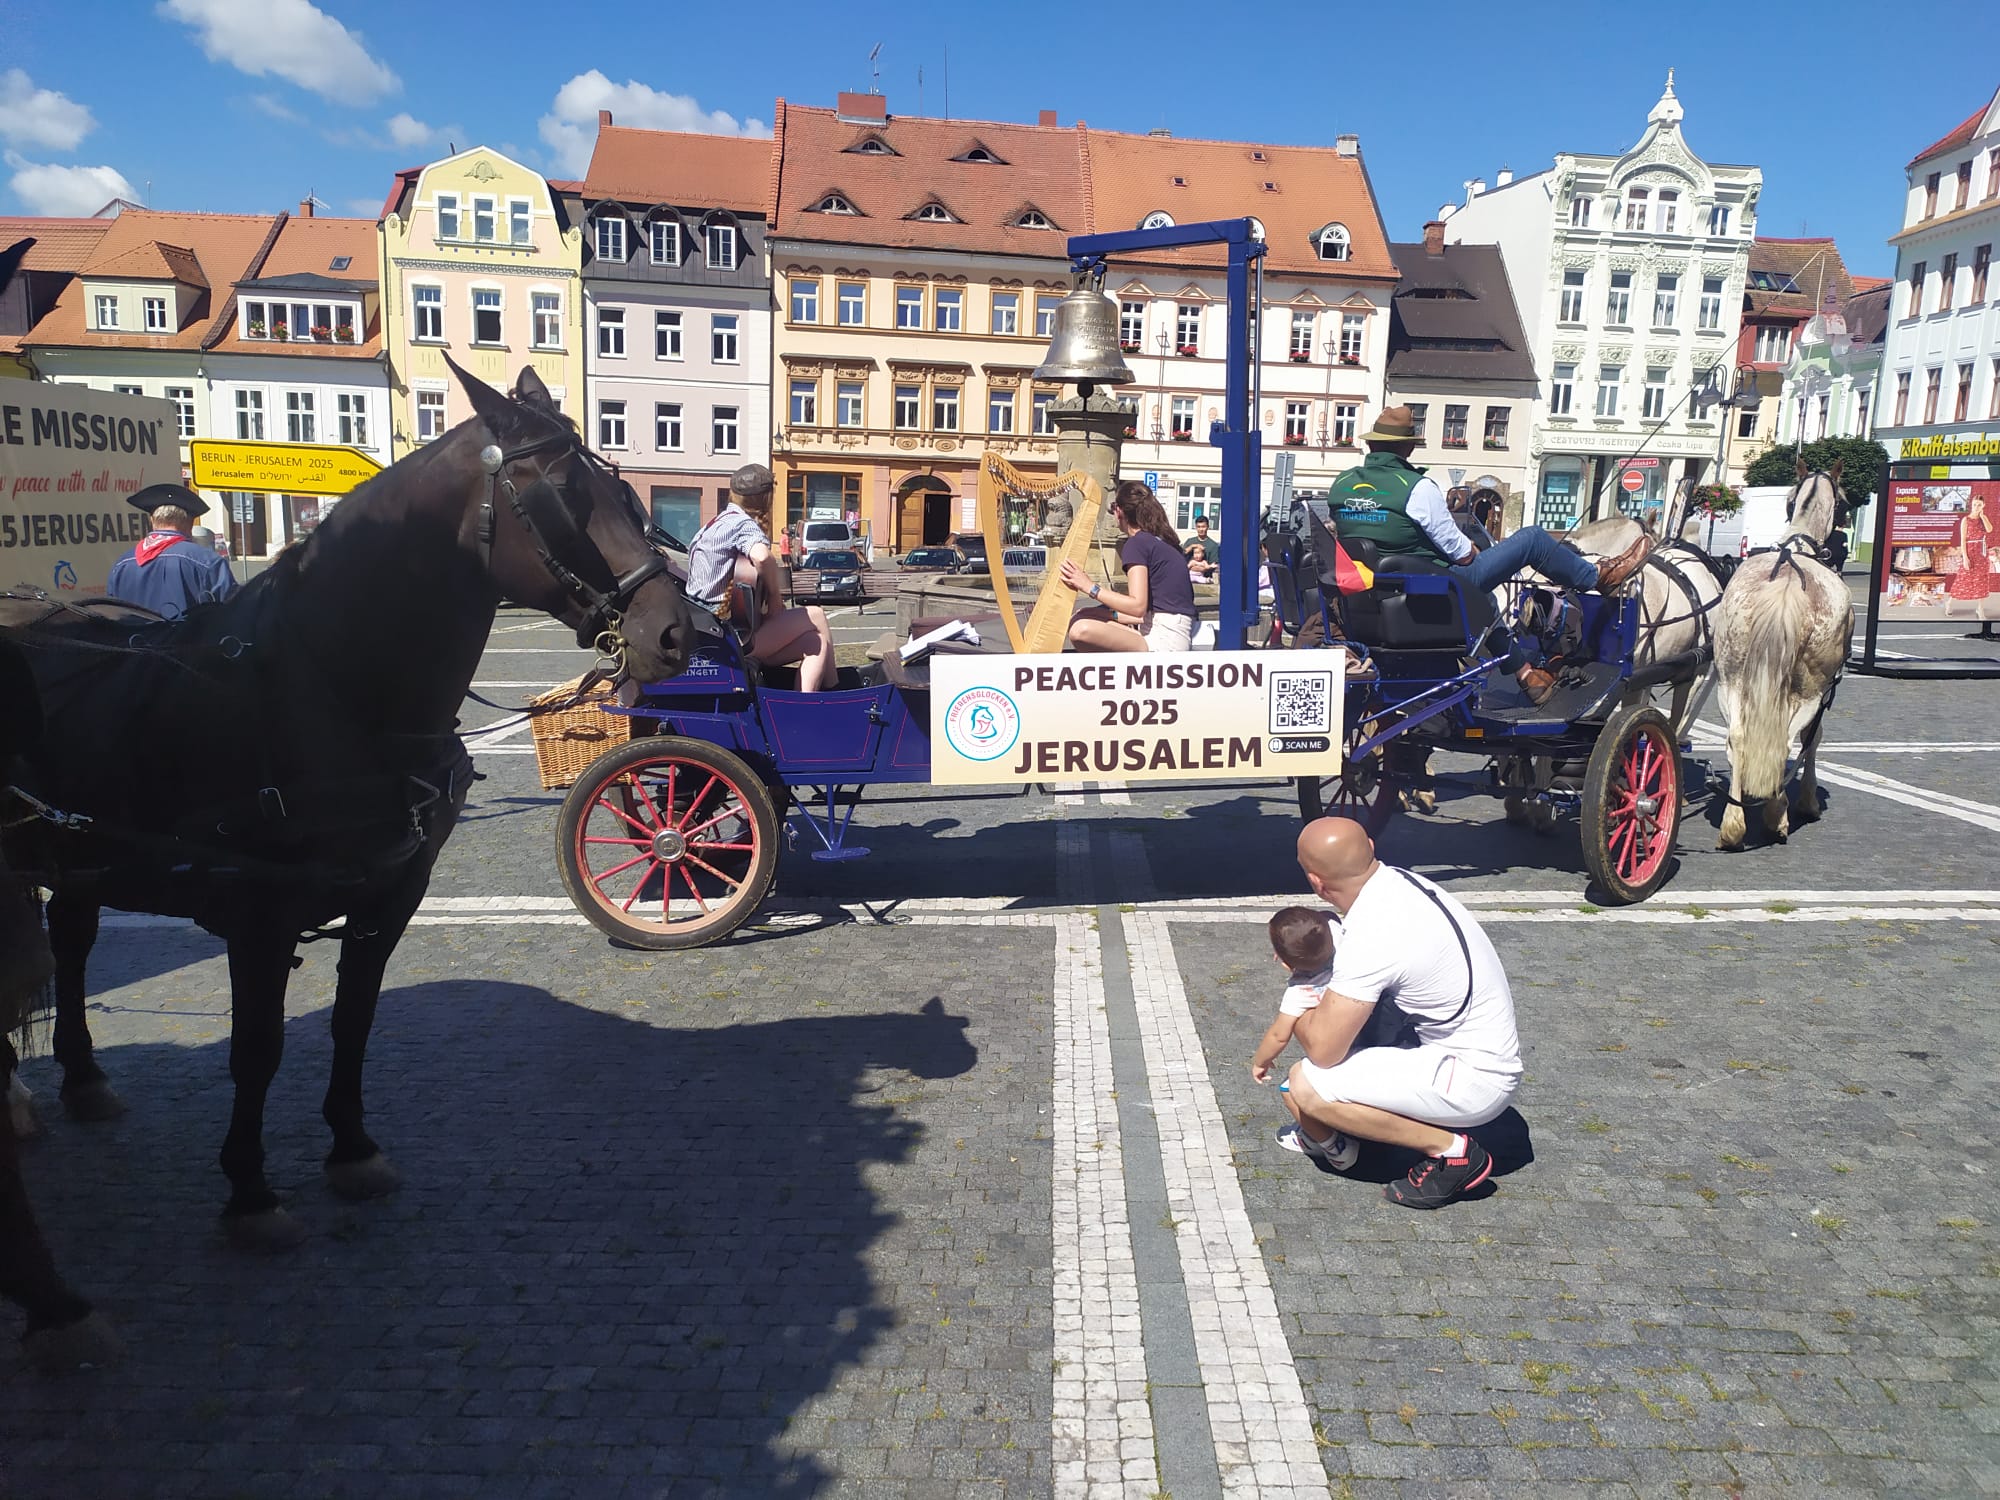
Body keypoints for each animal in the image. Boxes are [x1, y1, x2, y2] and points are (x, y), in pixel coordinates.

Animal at [0, 364, 696, 1256]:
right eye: (566, 493)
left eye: (620, 487)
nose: (677, 632)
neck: (336, 693)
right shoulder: (259, 914)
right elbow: (257, 1050)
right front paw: (250, 1191)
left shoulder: (389, 898)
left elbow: (354, 1023)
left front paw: (353, 1149)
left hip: (81, 854)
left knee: (71, 942)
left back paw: (82, 1080)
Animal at [1712, 464, 1848, 852]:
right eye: (1844, 502)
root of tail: (1786, 583)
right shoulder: (1825, 693)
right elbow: (1813, 740)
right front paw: (1808, 802)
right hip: (1809, 692)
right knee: (1788, 741)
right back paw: (1777, 816)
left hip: (1729, 681)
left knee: (1738, 737)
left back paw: (1733, 824)